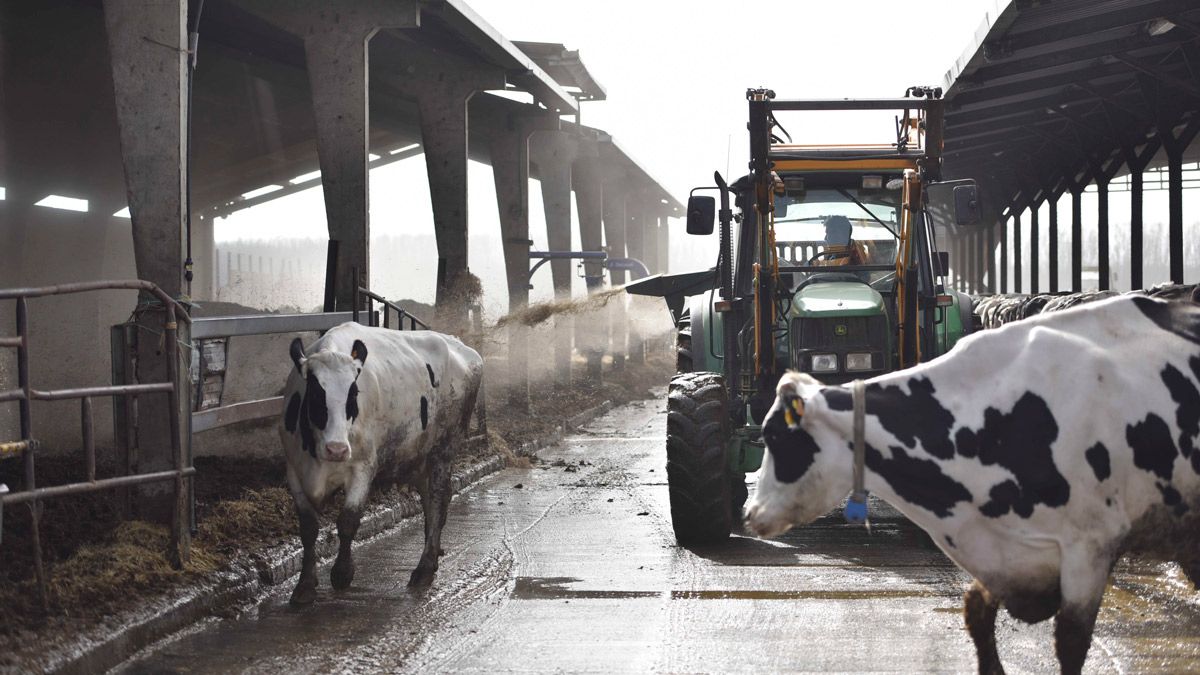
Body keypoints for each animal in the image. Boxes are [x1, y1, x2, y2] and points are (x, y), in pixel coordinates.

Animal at [279, 321, 482, 605]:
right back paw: (431, 560)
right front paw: (304, 585)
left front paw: (342, 573)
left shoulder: (363, 467)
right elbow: (308, 529)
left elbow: (348, 521)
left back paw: (424, 568)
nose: (337, 449)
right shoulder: (293, 470)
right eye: (316, 393)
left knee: (438, 499)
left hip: (444, 449)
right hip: (420, 457)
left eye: (353, 394)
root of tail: (464, 348)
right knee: (430, 504)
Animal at [744, 294, 1195, 672]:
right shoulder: (997, 548)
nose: (750, 513)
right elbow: (976, 613)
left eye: (775, 436)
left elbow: (1070, 644)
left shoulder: (1090, 545)